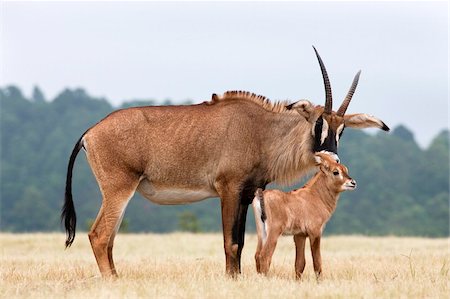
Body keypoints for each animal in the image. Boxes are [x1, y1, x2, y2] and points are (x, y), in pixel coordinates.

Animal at [61, 47, 388, 278]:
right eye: (318, 123)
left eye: (341, 129)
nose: (331, 157)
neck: (261, 130)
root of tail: (90, 132)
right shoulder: (228, 189)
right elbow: (230, 242)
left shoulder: (246, 194)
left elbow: (241, 243)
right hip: (118, 189)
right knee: (100, 236)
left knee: (108, 239)